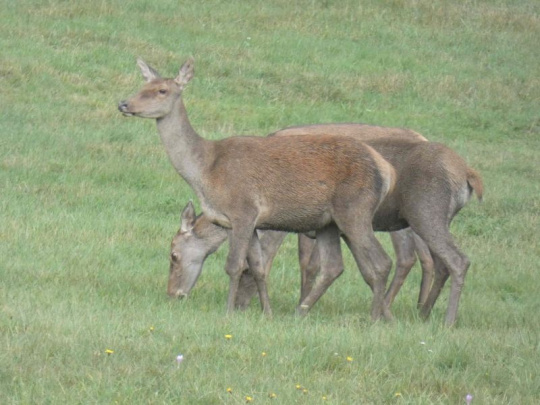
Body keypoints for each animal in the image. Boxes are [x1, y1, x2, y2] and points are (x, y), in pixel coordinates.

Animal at [118, 58, 396, 320]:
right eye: (142, 86)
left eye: (162, 90)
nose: (123, 104)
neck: (207, 171)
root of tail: (387, 170)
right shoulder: (252, 222)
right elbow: (258, 267)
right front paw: (267, 312)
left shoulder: (242, 211)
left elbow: (234, 265)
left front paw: (228, 311)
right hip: (327, 223)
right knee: (334, 266)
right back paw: (301, 312)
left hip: (355, 209)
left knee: (382, 262)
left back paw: (373, 318)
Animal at [167, 123, 484, 326]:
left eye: (174, 255)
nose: (173, 294)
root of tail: (468, 174)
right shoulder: (325, 228)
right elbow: (341, 268)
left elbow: (306, 263)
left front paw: (298, 305)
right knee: (434, 261)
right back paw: (423, 312)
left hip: (422, 213)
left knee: (436, 259)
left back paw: (441, 319)